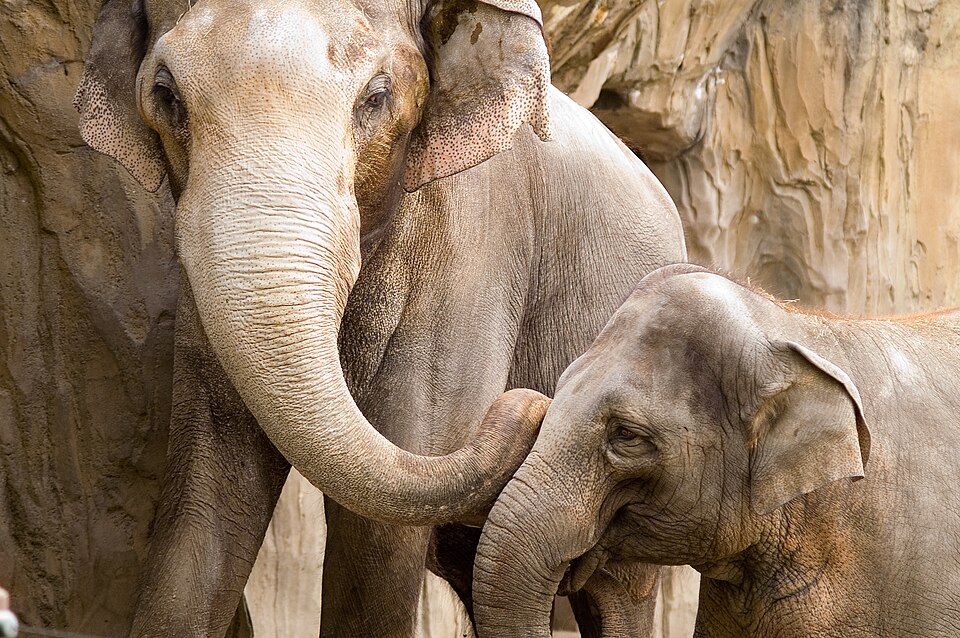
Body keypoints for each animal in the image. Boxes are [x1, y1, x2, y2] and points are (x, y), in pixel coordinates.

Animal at [74, 0, 688, 635]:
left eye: (376, 95)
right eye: (166, 93)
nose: (535, 406)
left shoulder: (472, 251)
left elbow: (378, 536)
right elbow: (206, 494)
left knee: (619, 594)